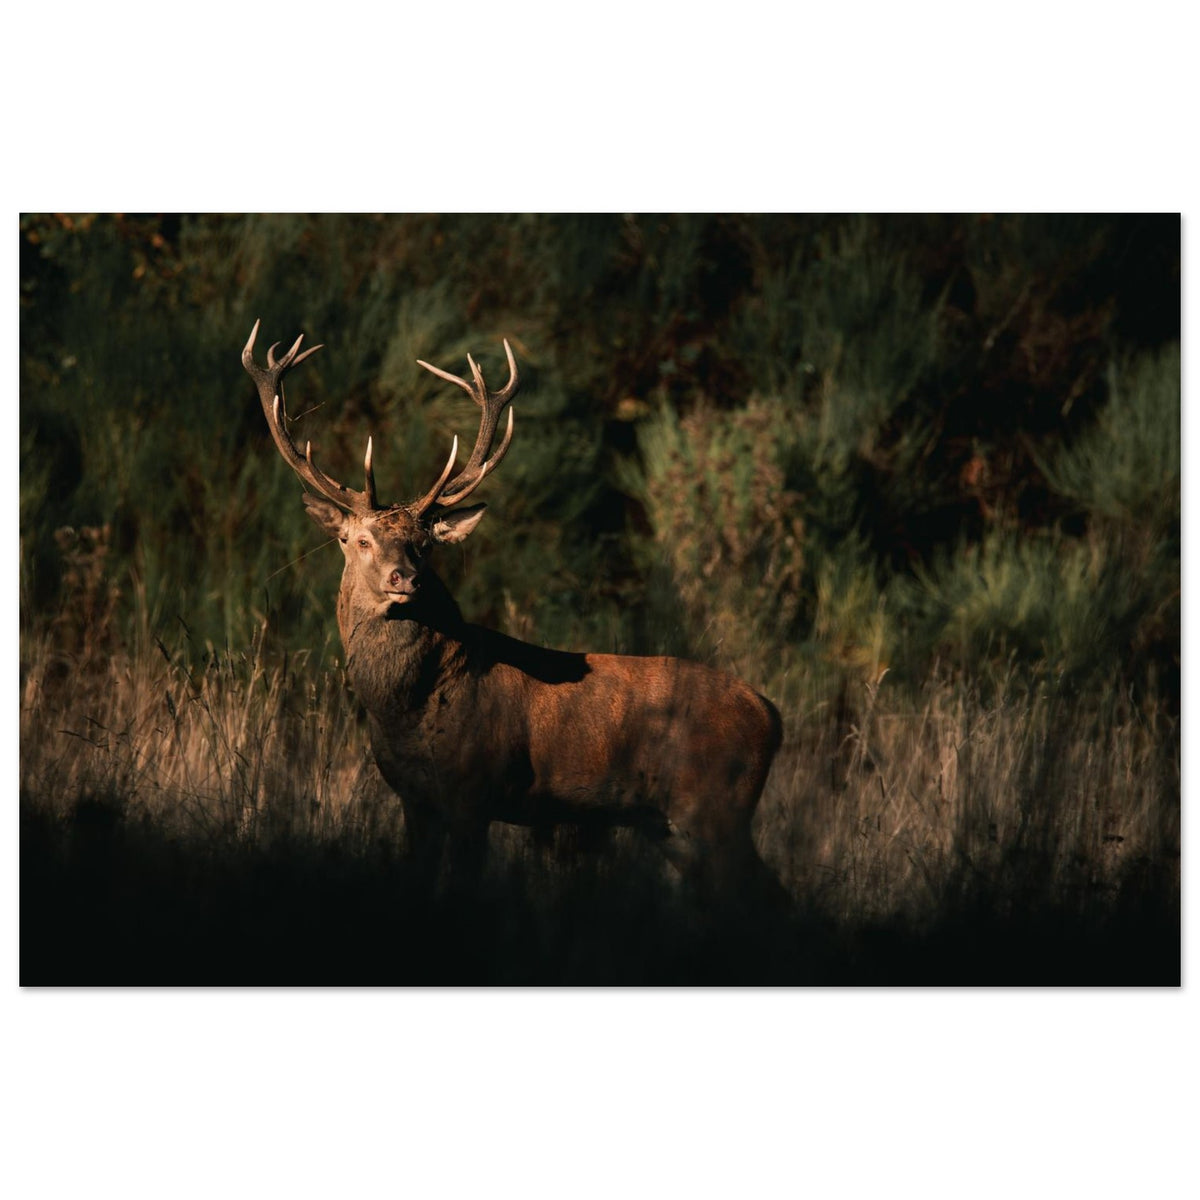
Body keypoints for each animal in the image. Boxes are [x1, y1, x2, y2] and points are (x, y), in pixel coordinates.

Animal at [242, 321, 784, 904]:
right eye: (357, 539)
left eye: (424, 544)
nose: (404, 578)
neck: (406, 711)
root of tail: (771, 716)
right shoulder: (413, 798)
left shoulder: (473, 790)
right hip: (672, 826)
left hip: (716, 809)